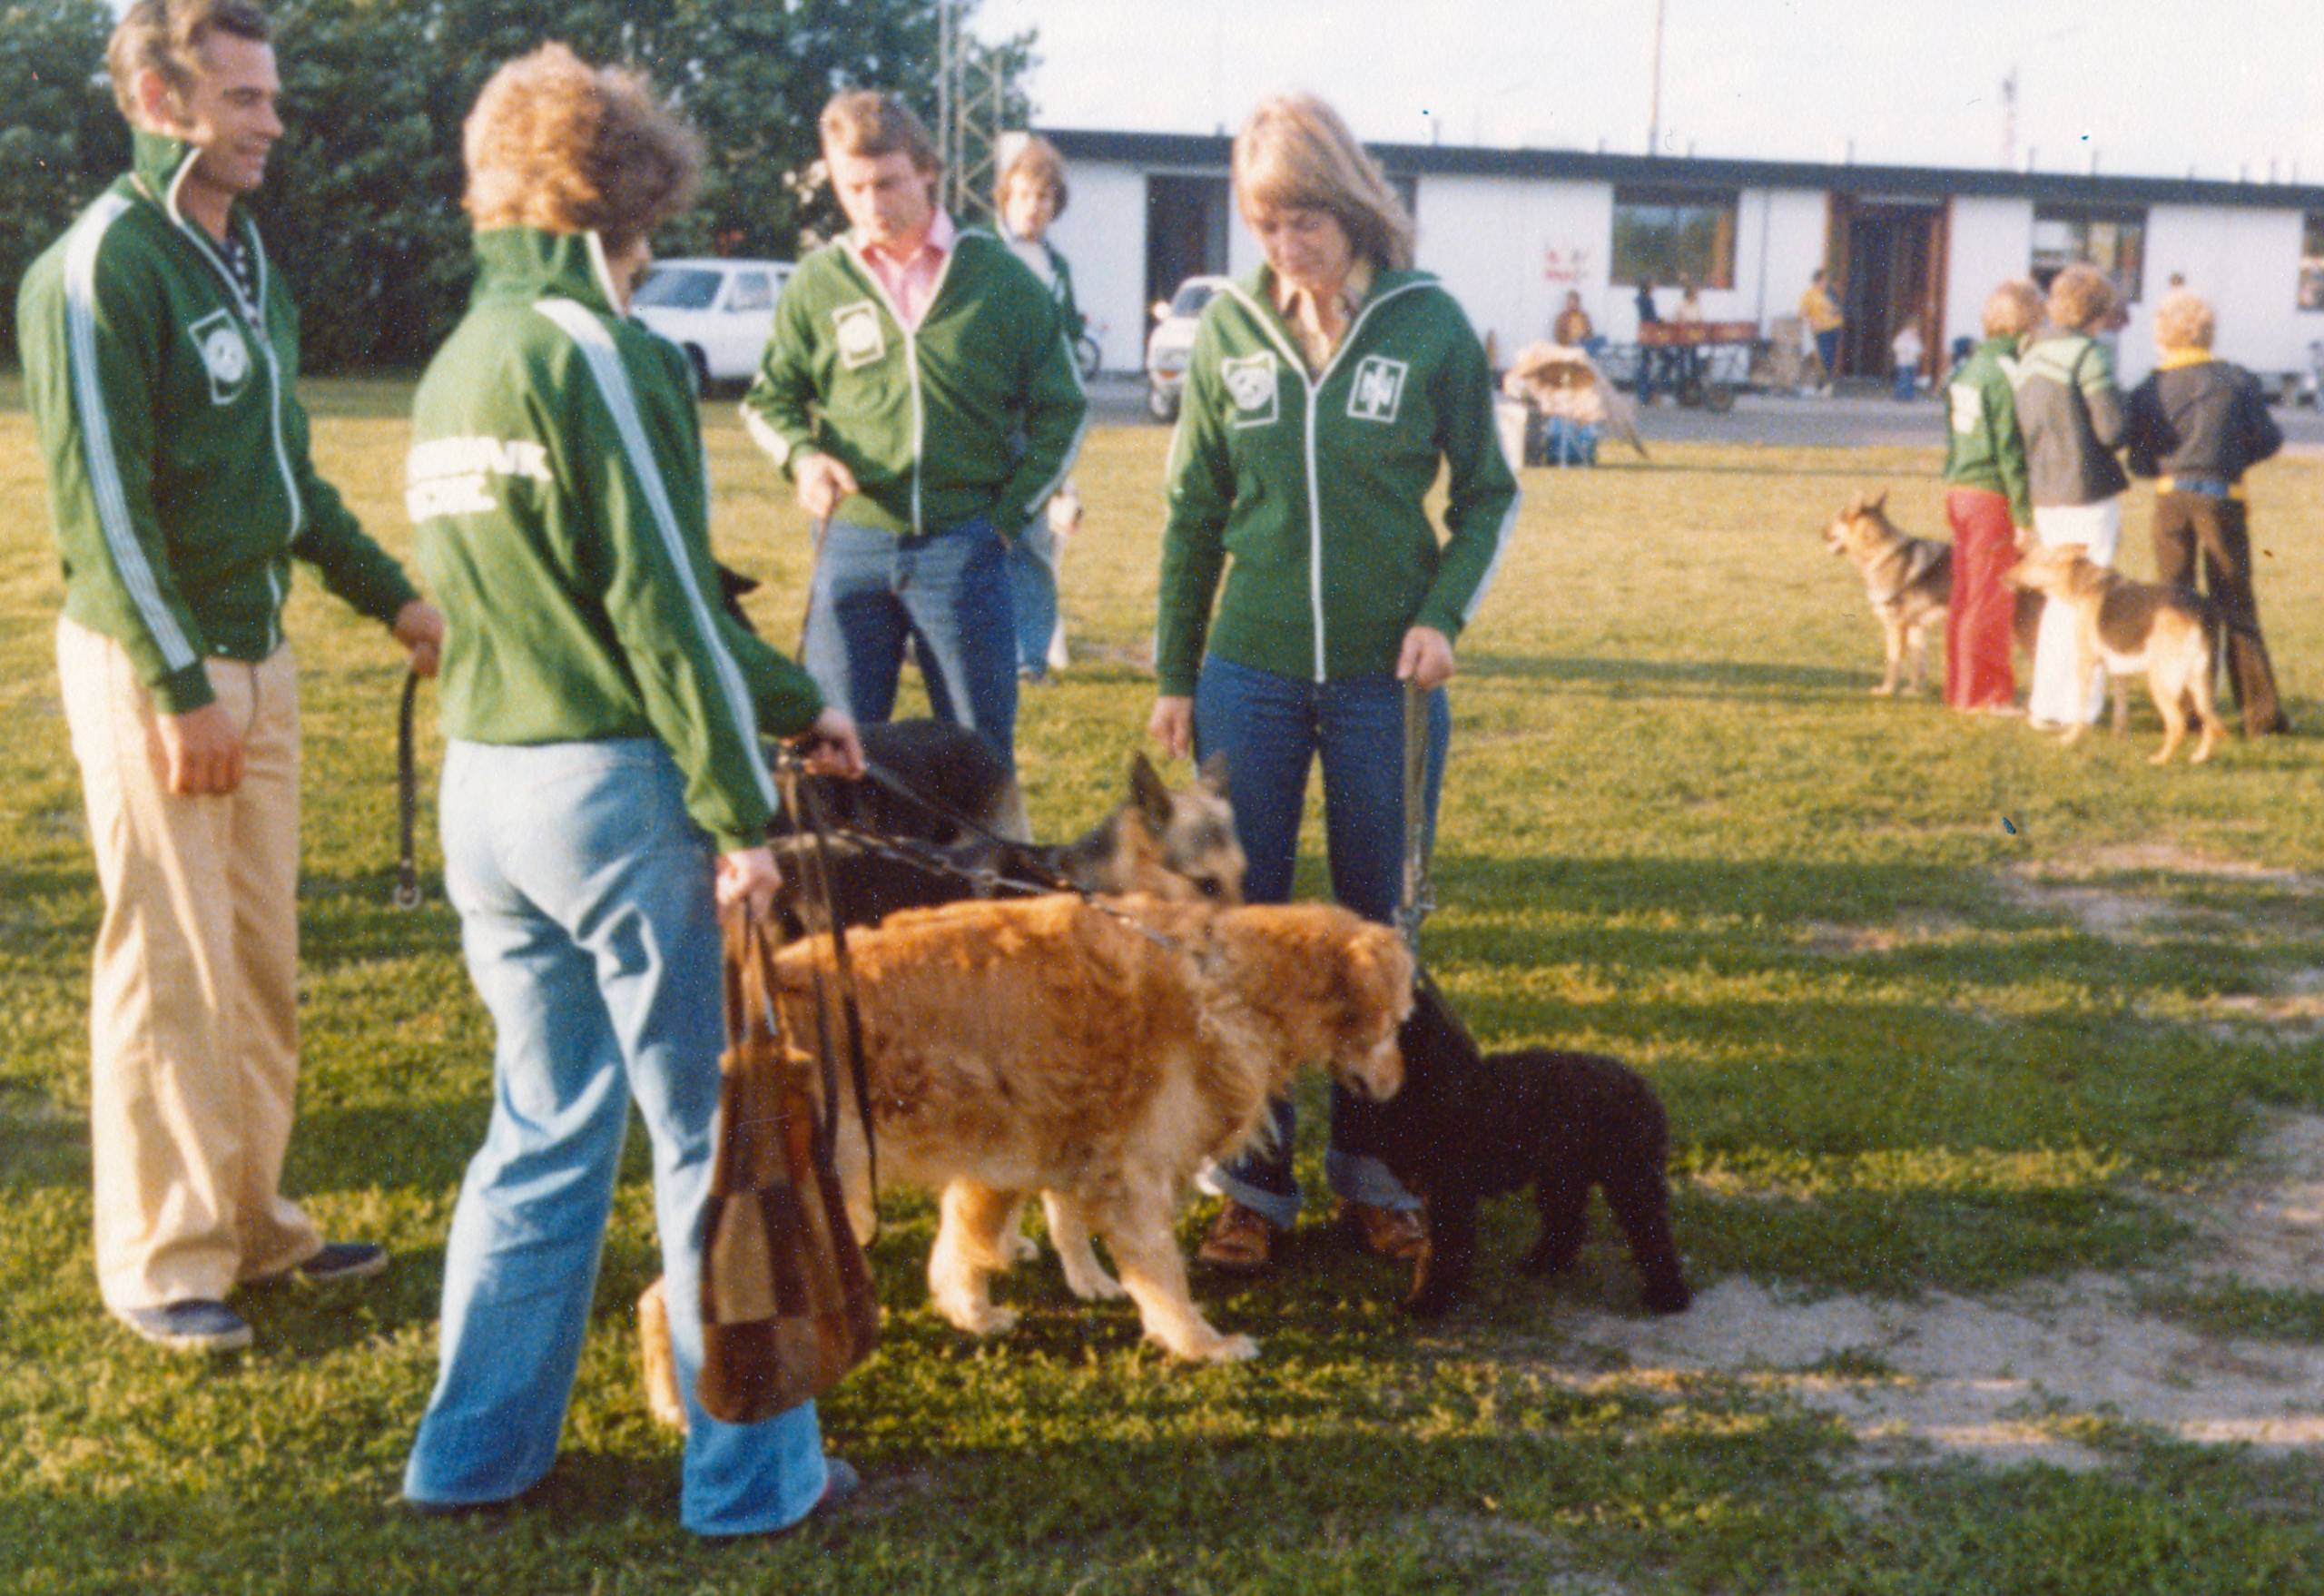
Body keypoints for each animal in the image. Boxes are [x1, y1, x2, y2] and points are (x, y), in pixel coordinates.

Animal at [1822, 492, 2044, 696]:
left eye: (1837, 518)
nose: (1821, 533)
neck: (1879, 551)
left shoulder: (1896, 626)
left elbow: (1893, 663)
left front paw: (1887, 690)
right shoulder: (1916, 627)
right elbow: (1918, 665)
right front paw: (1913, 691)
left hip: (2025, 630)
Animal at [2007, 546, 2221, 766]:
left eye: (2034, 561)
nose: (2006, 576)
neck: (2085, 584)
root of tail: (2201, 612)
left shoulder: (2085, 663)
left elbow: (2080, 710)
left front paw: (2070, 738)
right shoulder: (2120, 672)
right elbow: (2120, 710)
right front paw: (2118, 738)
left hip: (2162, 682)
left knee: (2179, 725)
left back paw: (2160, 759)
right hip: (2200, 683)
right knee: (2211, 721)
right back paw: (2199, 757)